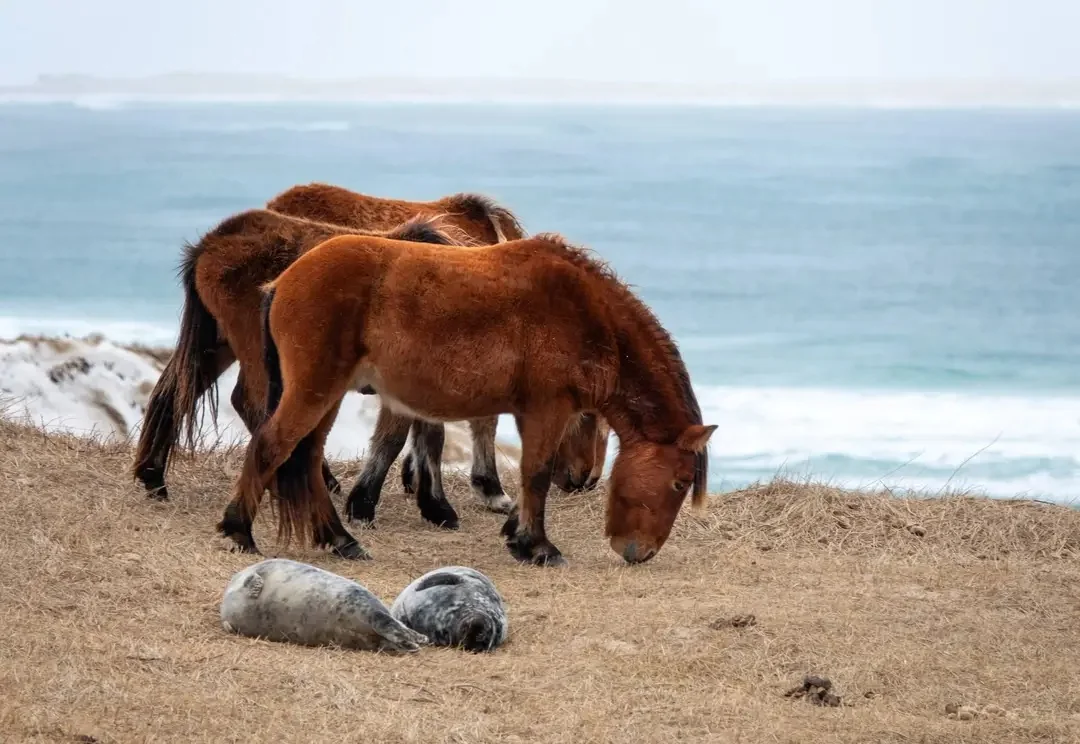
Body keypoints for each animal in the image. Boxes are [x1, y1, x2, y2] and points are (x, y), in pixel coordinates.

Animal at [130, 188, 605, 532]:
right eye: (591, 416)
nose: (584, 481)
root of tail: (211, 244)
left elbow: (425, 435)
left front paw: (428, 499)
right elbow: (411, 436)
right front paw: (382, 503)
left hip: (218, 344)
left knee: (174, 390)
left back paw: (153, 477)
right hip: (255, 353)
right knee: (252, 406)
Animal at [220, 231, 716, 565]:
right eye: (679, 482)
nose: (640, 552)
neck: (584, 313)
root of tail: (283, 281)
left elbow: (528, 477)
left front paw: (517, 533)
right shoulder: (547, 410)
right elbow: (536, 474)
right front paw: (538, 547)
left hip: (327, 396)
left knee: (305, 459)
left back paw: (340, 540)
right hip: (315, 390)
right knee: (272, 447)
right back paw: (238, 532)